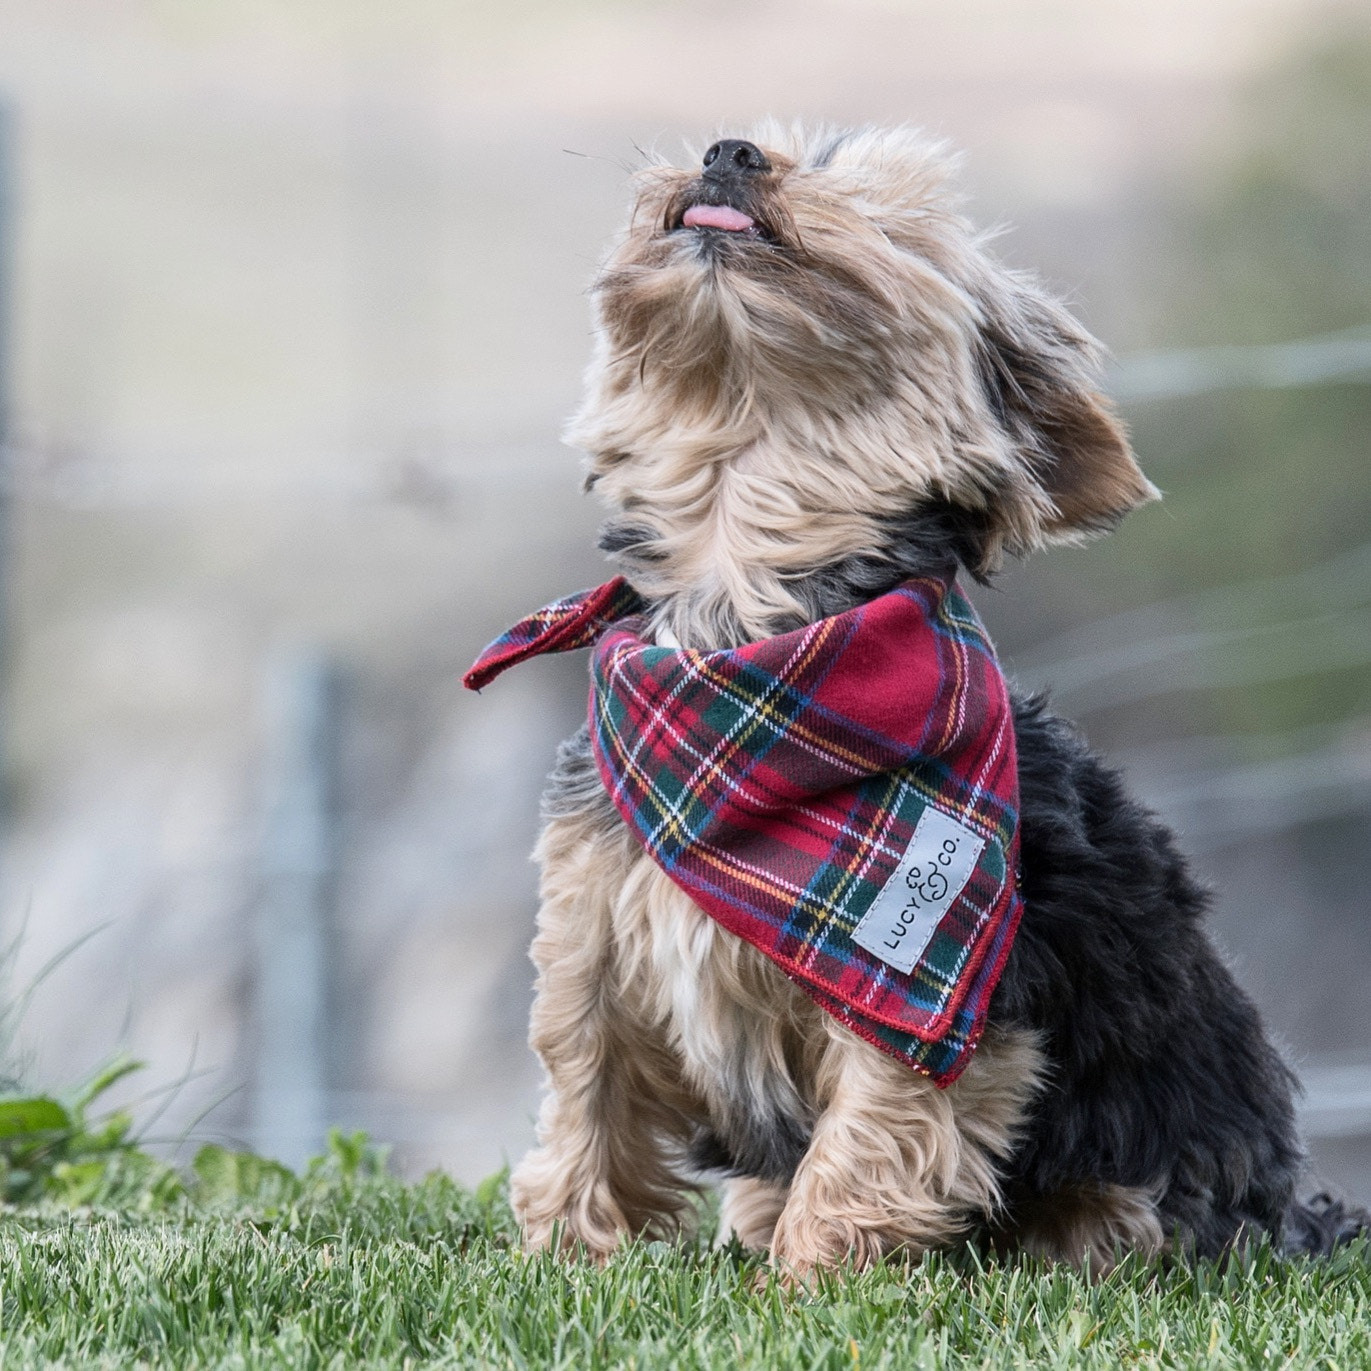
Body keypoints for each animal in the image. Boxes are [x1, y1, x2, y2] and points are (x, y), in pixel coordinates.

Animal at [474, 123, 1371, 1266]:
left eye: (881, 206)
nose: (728, 151)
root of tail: (1291, 1214)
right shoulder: (590, 916)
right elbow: (583, 1078)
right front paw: (567, 1253)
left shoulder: (932, 989)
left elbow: (874, 1128)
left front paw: (814, 1277)